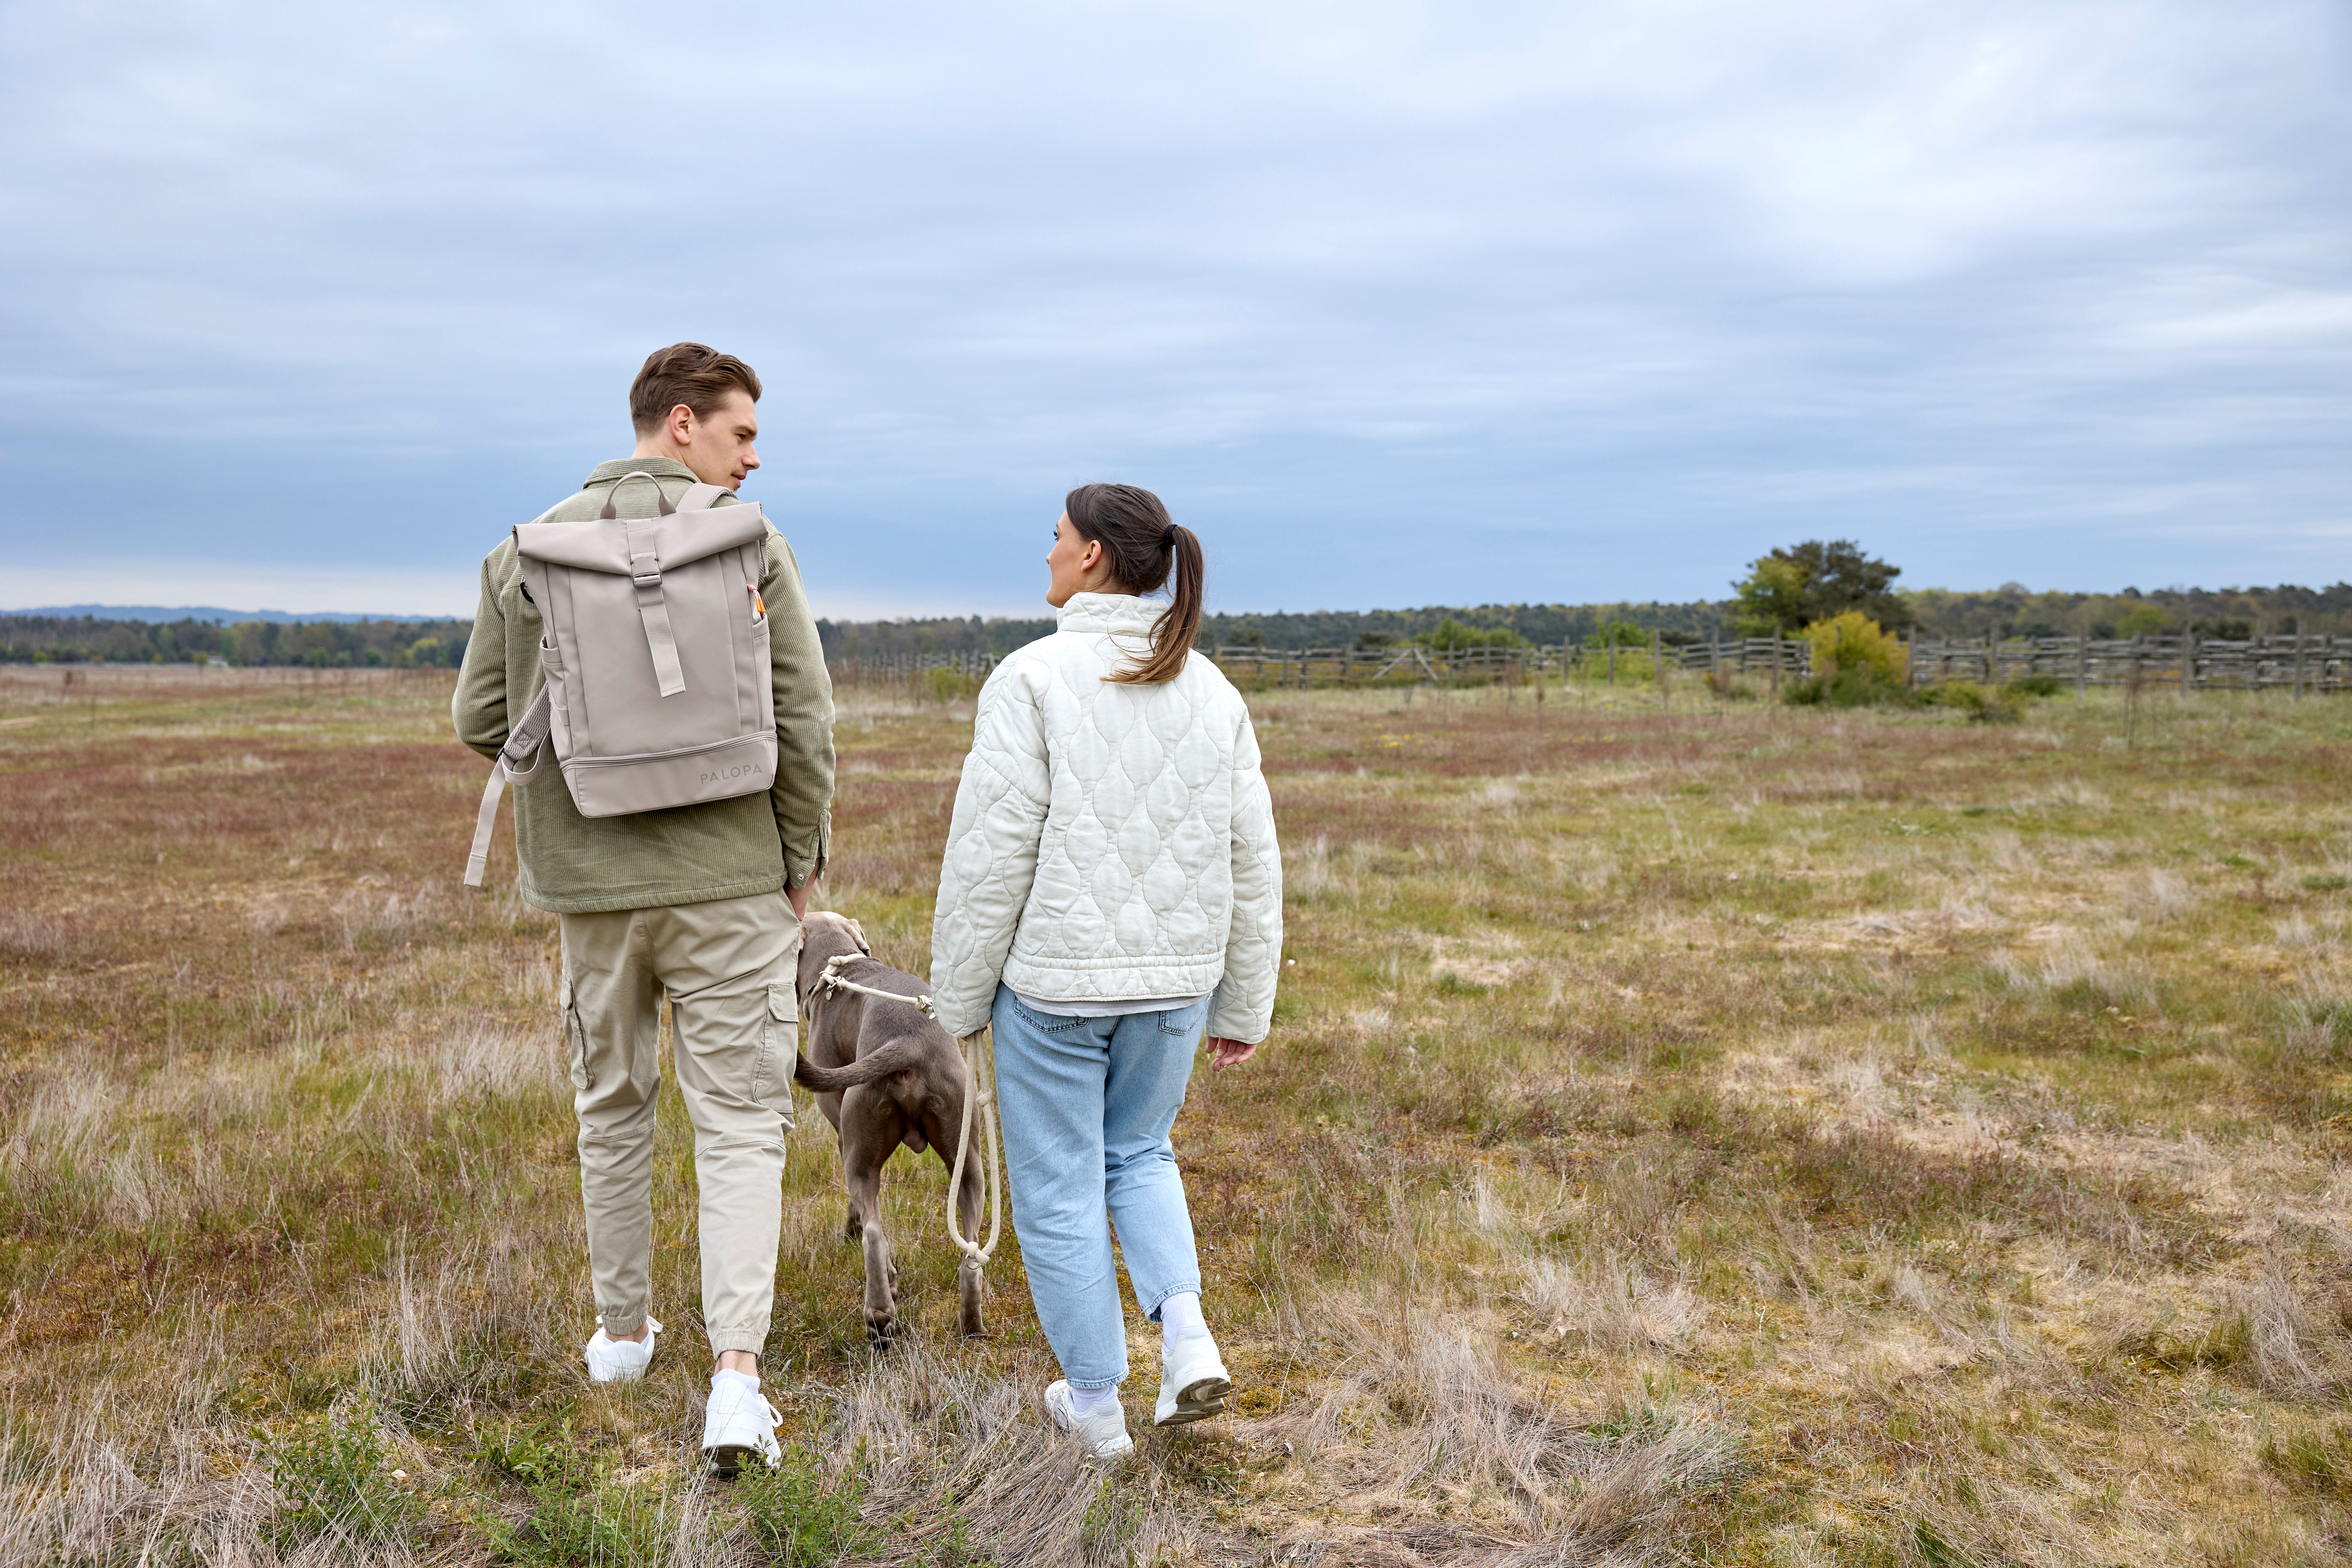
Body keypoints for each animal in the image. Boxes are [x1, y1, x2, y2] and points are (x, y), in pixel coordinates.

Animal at [785, 912, 978, 1344]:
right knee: (972, 1246)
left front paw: (850, 1231)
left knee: (874, 1234)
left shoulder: (842, 1135)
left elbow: (857, 1212)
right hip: (967, 1153)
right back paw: (972, 1324)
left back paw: (879, 1315)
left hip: (860, 1150)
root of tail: (908, 1042)